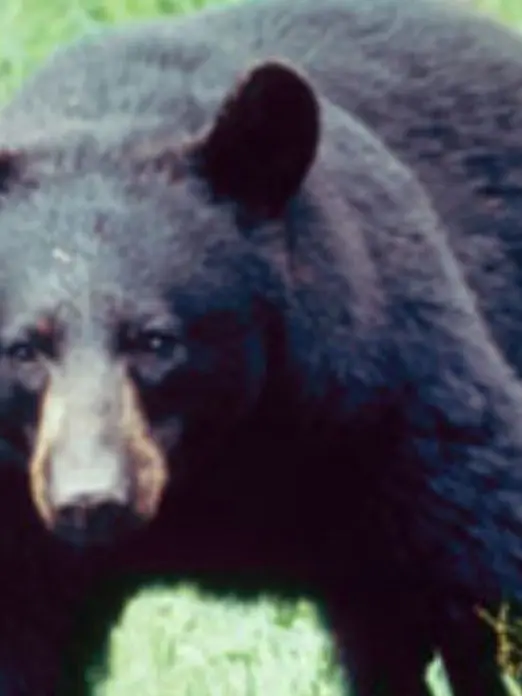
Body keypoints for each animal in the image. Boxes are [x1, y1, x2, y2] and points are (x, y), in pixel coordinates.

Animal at [0, 0, 522, 695]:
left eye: (156, 340)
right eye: (24, 349)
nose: (90, 502)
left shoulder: (389, 391)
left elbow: (485, 553)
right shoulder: (15, 510)